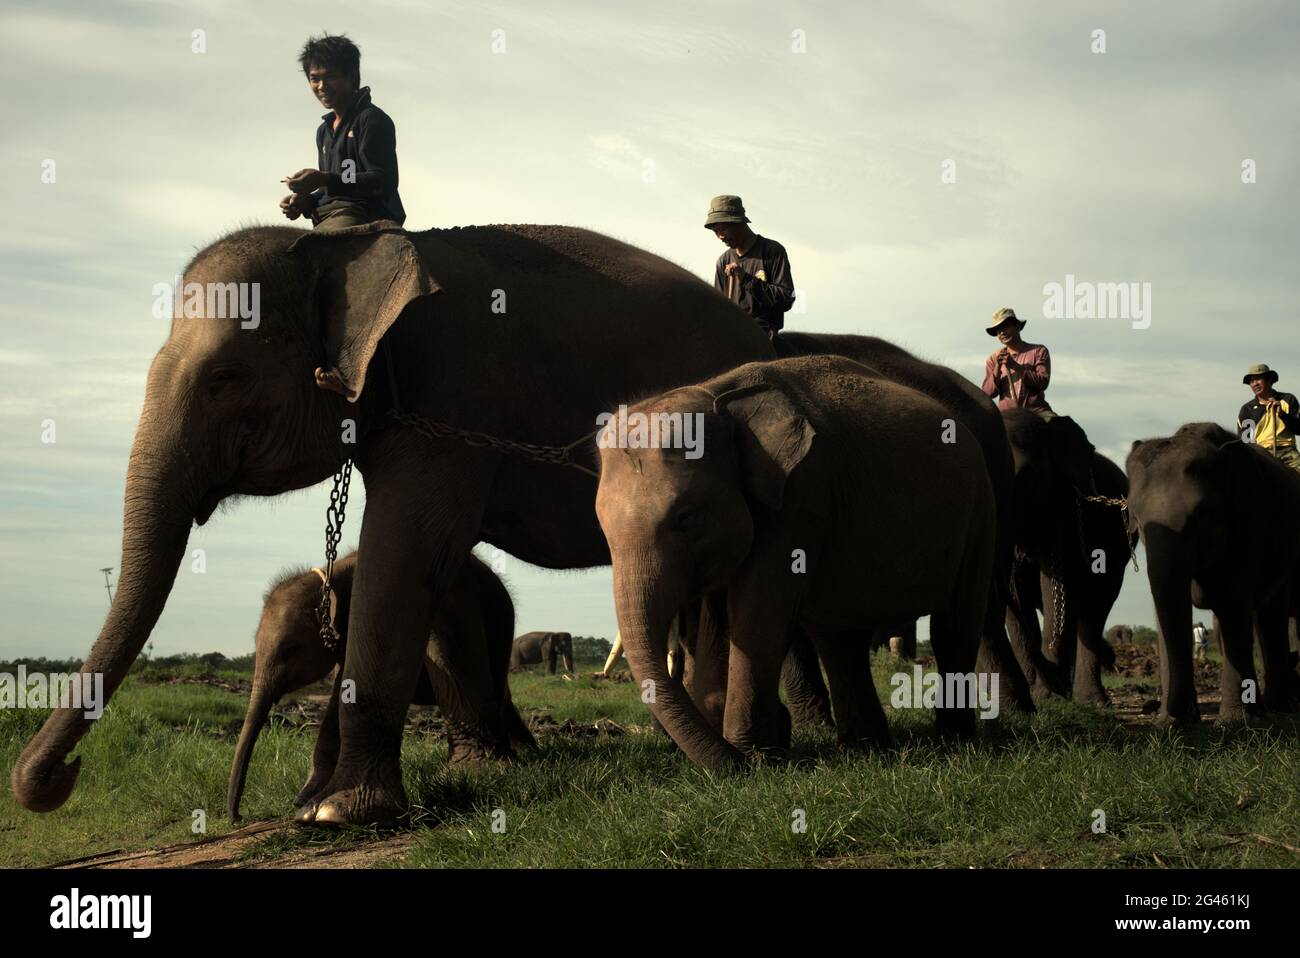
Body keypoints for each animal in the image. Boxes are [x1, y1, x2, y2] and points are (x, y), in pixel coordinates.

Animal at [228, 548, 533, 816]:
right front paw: (305, 798)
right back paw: (530, 752)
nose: (238, 817)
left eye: (290, 649)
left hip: (500, 619)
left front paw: (306, 799)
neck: (329, 576)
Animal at [595, 353, 998, 769]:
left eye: (686, 518)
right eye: (602, 527)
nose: (731, 764)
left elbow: (758, 614)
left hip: (980, 510)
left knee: (955, 622)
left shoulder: (802, 493)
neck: (719, 396)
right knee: (840, 638)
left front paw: (752, 756)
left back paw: (954, 743)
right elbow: (722, 615)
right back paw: (865, 748)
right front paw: (759, 749)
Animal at [998, 408, 1133, 707]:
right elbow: (1015, 591)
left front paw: (1054, 692)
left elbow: (1059, 587)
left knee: (1095, 608)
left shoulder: (1065, 509)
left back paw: (1090, 699)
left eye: (1027, 478)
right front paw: (1045, 693)